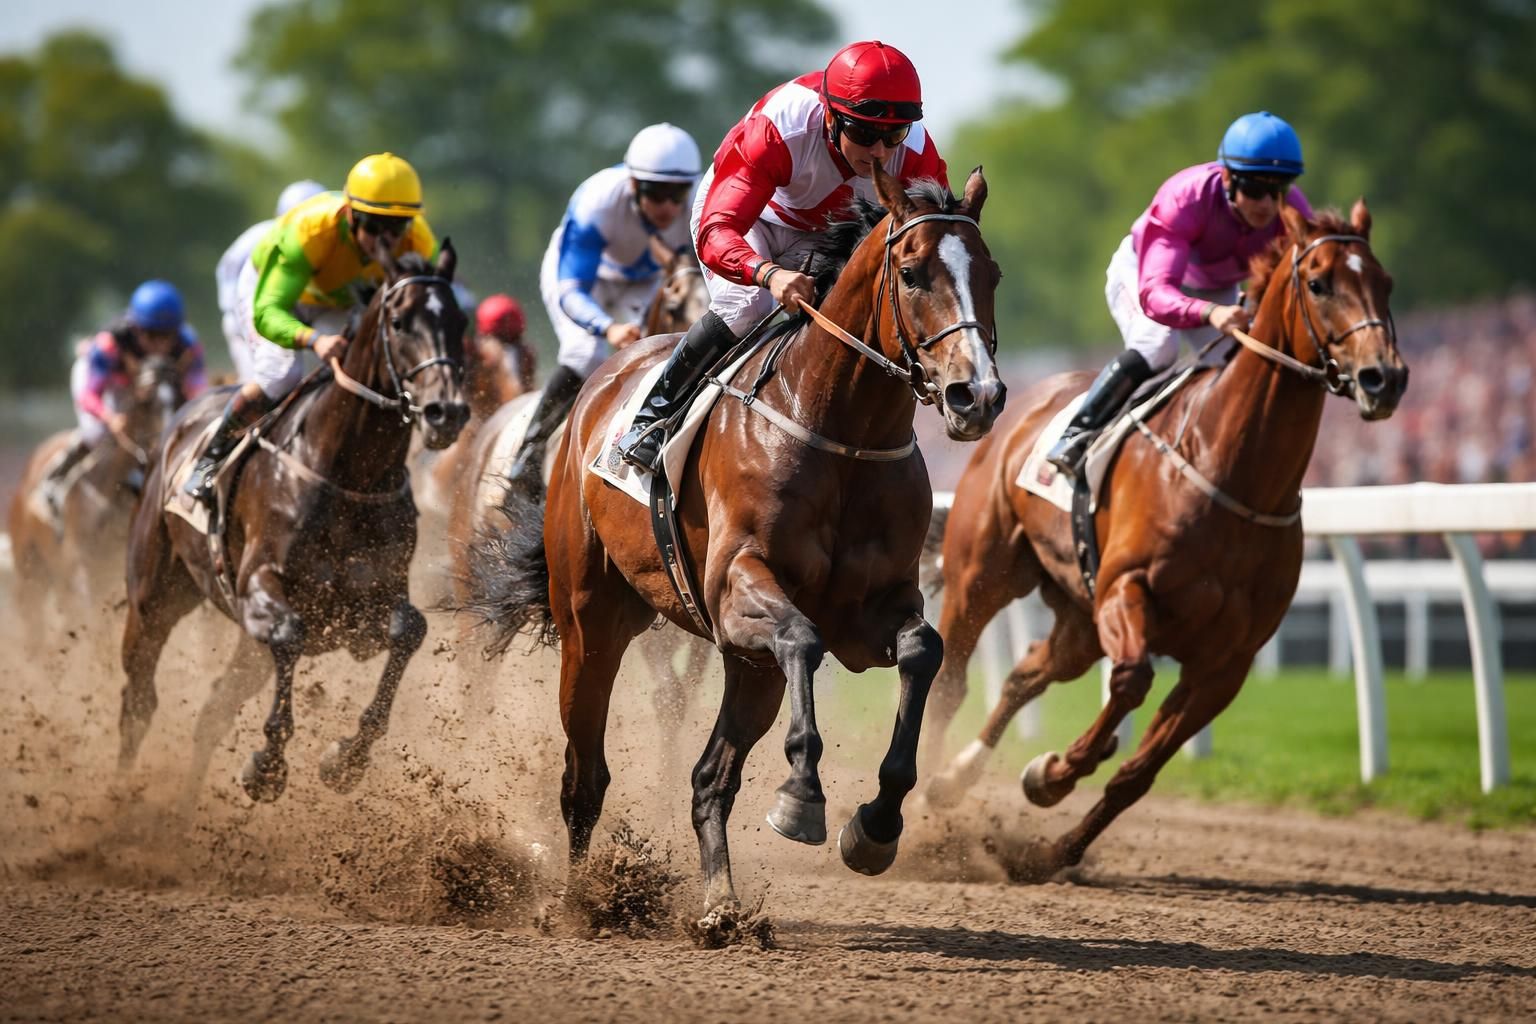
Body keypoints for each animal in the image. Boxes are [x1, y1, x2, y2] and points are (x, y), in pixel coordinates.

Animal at [119, 243, 469, 804]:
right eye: (399, 322)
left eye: (459, 322)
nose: (446, 411)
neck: (349, 473)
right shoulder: (262, 584)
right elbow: (290, 633)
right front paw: (267, 766)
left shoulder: (374, 597)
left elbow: (409, 630)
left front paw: (346, 759)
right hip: (154, 596)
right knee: (139, 699)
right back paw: (118, 796)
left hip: (240, 645)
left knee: (213, 710)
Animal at [465, 164, 1005, 919]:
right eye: (912, 272)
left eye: (992, 273)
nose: (975, 396)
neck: (840, 429)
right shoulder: (736, 588)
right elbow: (803, 637)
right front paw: (802, 797)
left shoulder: (872, 611)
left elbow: (923, 652)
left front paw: (875, 825)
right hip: (591, 622)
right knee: (584, 775)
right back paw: (581, 900)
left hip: (742, 663)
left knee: (709, 777)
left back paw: (720, 903)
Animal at [920, 201, 1407, 879]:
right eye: (1320, 283)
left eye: (1385, 282)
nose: (1383, 378)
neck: (1233, 475)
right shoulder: (1127, 590)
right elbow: (1130, 682)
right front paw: (1054, 774)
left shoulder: (1226, 663)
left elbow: (1137, 773)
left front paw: (1054, 846)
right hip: (985, 573)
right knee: (953, 678)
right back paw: (919, 797)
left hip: (1077, 613)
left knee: (1028, 672)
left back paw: (954, 780)